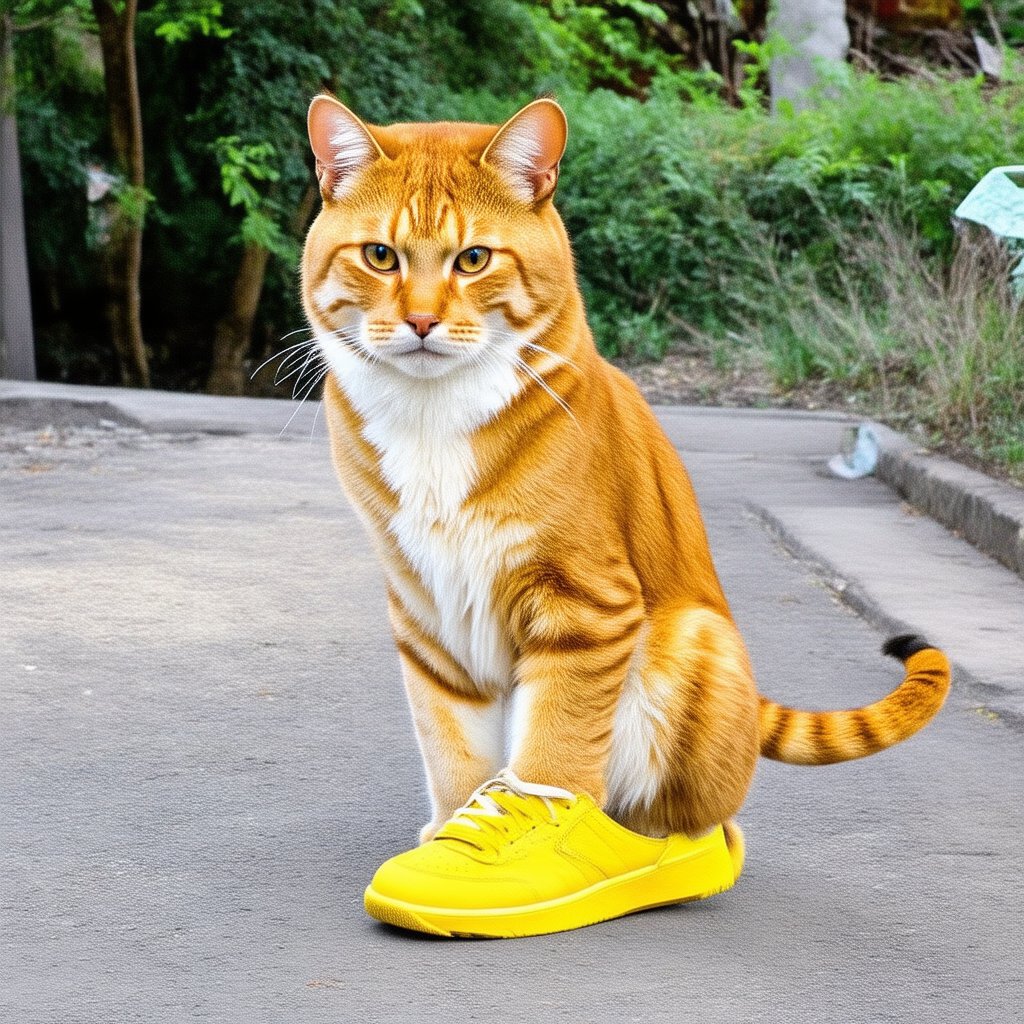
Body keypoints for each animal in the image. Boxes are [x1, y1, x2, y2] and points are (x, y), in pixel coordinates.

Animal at [299, 96, 946, 856]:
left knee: (703, 816)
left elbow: (557, 744)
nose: (422, 320)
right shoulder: (424, 602)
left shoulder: (585, 600)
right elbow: (449, 738)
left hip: (695, 639)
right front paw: (456, 837)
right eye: (379, 255)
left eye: (474, 259)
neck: (433, 417)